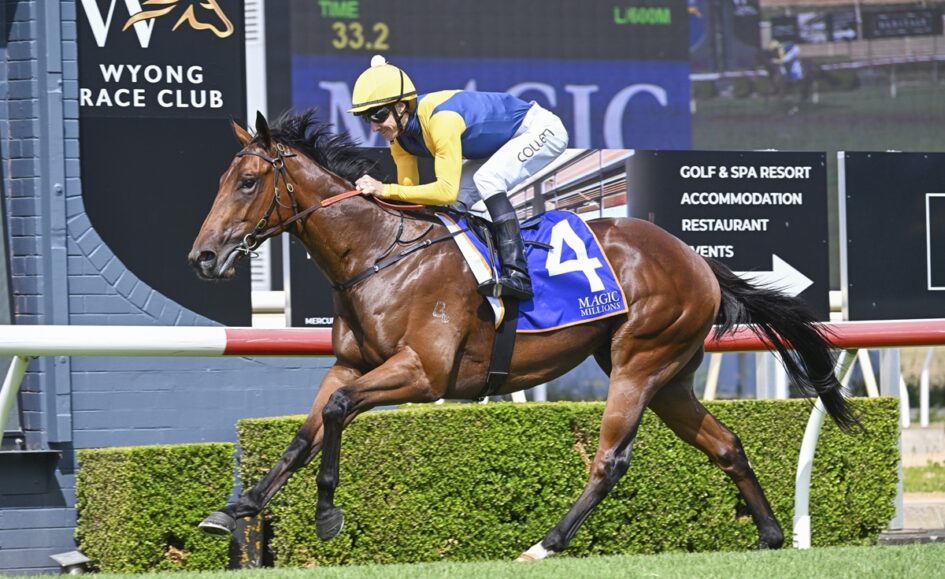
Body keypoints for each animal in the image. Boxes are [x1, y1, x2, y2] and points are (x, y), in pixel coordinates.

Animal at [188, 110, 857, 561]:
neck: (378, 253)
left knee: (610, 460)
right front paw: (235, 507)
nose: (203, 257)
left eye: (247, 182)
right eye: (222, 179)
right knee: (725, 443)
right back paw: (771, 535)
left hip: (641, 360)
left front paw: (327, 514)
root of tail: (697, 260)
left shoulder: (423, 373)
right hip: (668, 377)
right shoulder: (350, 364)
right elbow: (306, 432)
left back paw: (546, 543)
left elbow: (336, 412)